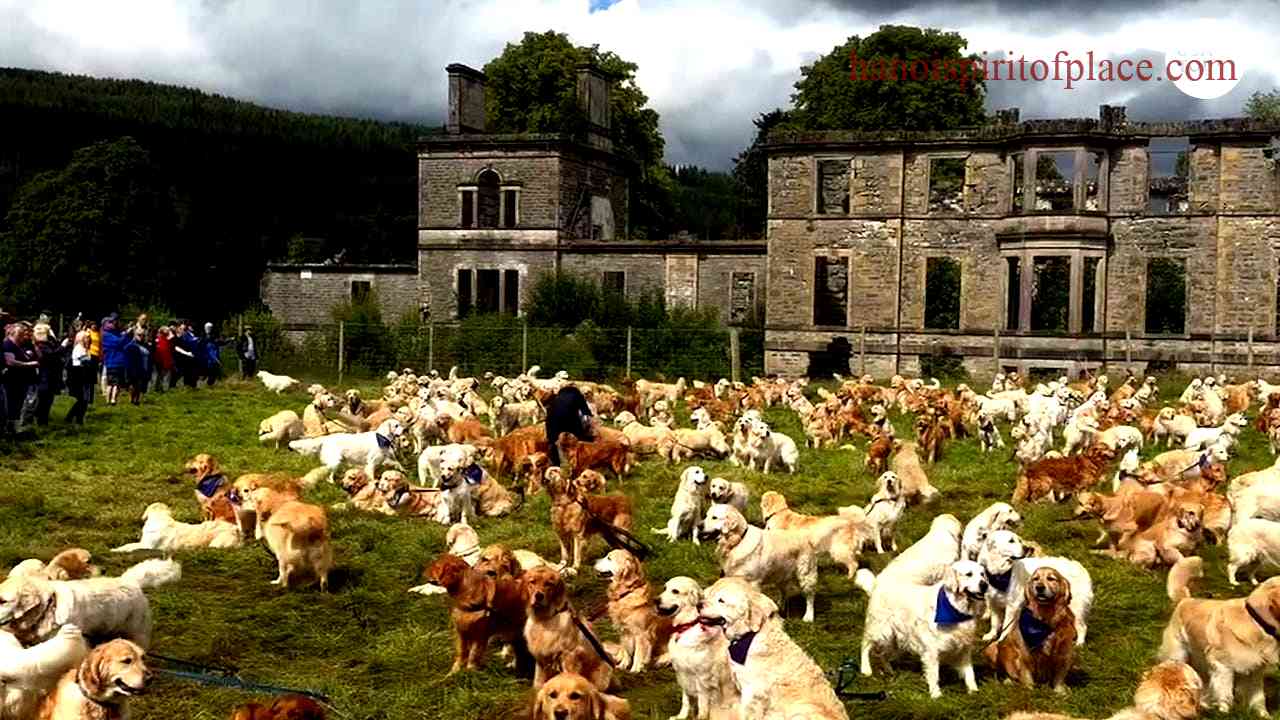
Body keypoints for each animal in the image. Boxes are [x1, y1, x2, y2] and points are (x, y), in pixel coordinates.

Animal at [655, 573, 737, 717]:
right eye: (664, 588)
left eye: (675, 591)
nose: (655, 600)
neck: (687, 626)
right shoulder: (682, 673)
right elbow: (686, 700)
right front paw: (681, 716)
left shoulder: (703, 678)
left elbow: (702, 704)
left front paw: (700, 717)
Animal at [696, 576, 844, 717]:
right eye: (709, 595)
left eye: (721, 600)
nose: (698, 605)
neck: (749, 636)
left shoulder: (752, 693)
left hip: (802, 709)